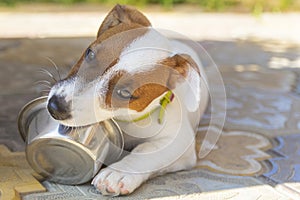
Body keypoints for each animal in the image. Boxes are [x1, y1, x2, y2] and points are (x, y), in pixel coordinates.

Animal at [47, 4, 209, 195]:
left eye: (124, 93)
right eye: (90, 54)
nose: (55, 106)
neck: (124, 118)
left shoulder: (178, 143)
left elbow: (146, 151)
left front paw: (118, 173)